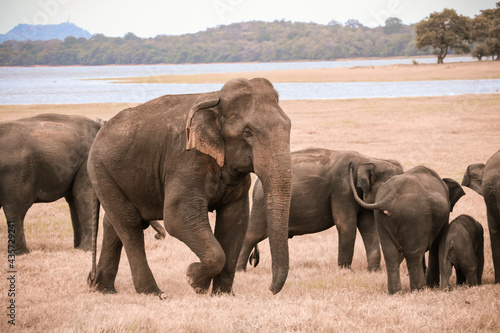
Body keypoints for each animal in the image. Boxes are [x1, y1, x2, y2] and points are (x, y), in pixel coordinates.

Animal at [0, 113, 101, 253]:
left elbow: (74, 199)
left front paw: (78, 249)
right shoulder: (87, 163)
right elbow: (83, 195)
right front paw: (86, 250)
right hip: (16, 172)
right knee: (16, 208)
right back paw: (23, 253)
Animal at [87, 78, 292, 298]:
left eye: (289, 127)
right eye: (247, 132)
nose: (270, 289)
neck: (216, 100)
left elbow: (235, 221)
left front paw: (222, 294)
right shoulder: (186, 159)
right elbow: (177, 217)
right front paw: (194, 280)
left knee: (112, 224)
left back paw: (104, 289)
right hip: (100, 170)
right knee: (129, 224)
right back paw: (154, 293)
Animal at [236, 148, 404, 272]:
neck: (370, 159)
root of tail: (257, 184)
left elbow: (369, 227)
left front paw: (374, 271)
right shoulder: (342, 188)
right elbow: (346, 224)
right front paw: (345, 271)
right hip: (261, 205)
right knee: (252, 235)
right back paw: (239, 271)